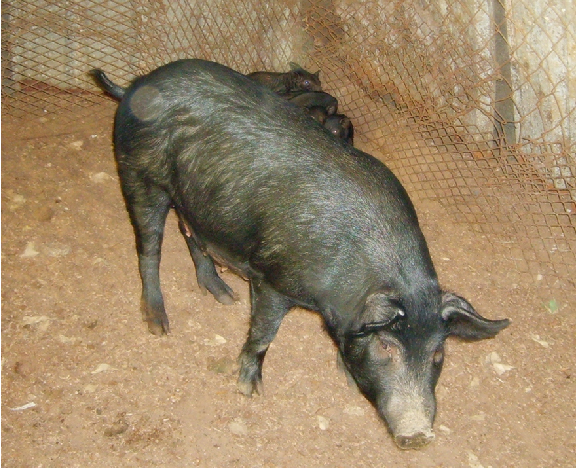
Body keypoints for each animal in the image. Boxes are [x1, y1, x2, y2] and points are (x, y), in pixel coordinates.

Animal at [92, 59, 510, 450]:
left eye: (438, 355)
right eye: (387, 346)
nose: (418, 434)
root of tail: (138, 84)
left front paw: (345, 376)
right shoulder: (271, 278)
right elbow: (263, 333)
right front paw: (250, 391)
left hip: (197, 200)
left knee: (191, 234)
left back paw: (224, 296)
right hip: (139, 175)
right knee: (149, 247)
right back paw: (159, 324)